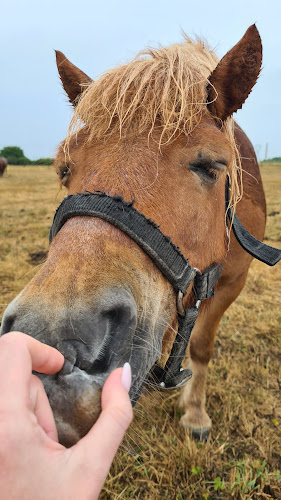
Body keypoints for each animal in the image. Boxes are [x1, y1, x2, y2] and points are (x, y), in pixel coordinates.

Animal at [1, 26, 278, 446]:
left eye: (211, 166)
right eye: (64, 169)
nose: (59, 346)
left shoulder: (233, 282)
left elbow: (201, 346)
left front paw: (195, 413)